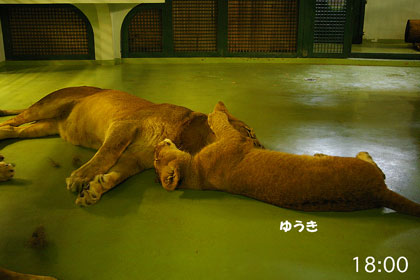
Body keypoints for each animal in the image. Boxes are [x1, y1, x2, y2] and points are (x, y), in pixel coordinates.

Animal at [0, 86, 262, 207]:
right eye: (249, 132)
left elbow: (118, 175)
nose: (258, 146)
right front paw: (80, 177)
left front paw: (96, 188)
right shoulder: (124, 126)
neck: (187, 136)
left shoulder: (134, 158)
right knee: (11, 121)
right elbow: (106, 153)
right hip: (45, 107)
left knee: (13, 130)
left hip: (46, 126)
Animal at [153, 101, 420, 218]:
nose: (155, 146)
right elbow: (220, 121)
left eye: (156, 159)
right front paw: (218, 109)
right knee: (380, 169)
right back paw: (341, 153)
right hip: (370, 173)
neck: (196, 174)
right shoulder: (234, 141)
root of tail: (378, 193)